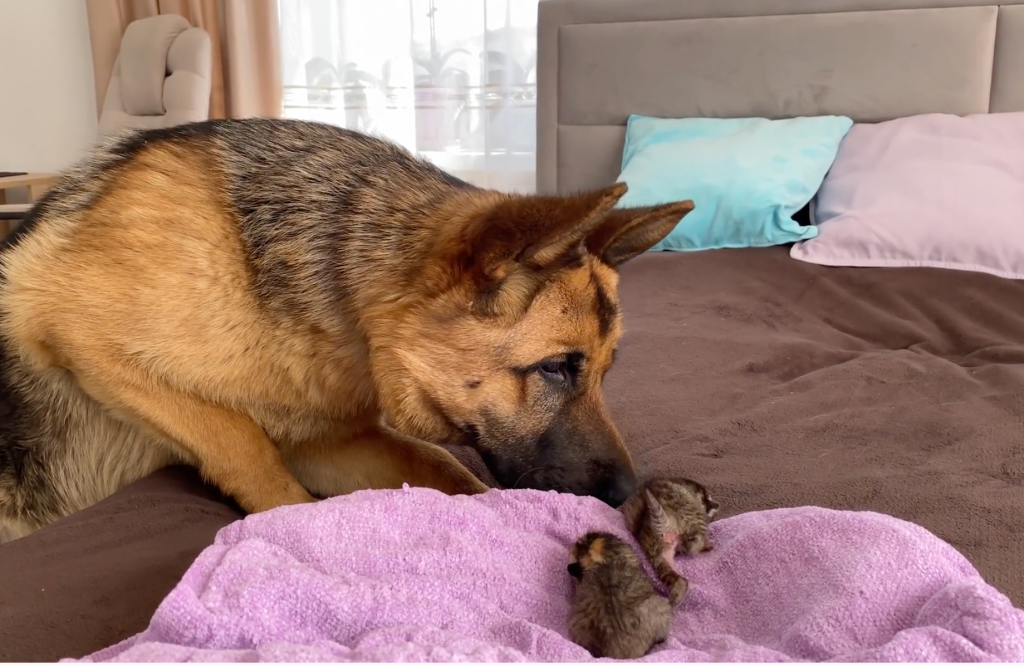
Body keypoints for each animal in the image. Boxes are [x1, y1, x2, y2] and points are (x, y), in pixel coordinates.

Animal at [0, 115, 696, 540]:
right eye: (555, 367)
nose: (629, 493)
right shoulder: (77, 336)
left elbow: (443, 468)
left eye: (605, 371)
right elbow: (241, 441)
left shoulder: (324, 441)